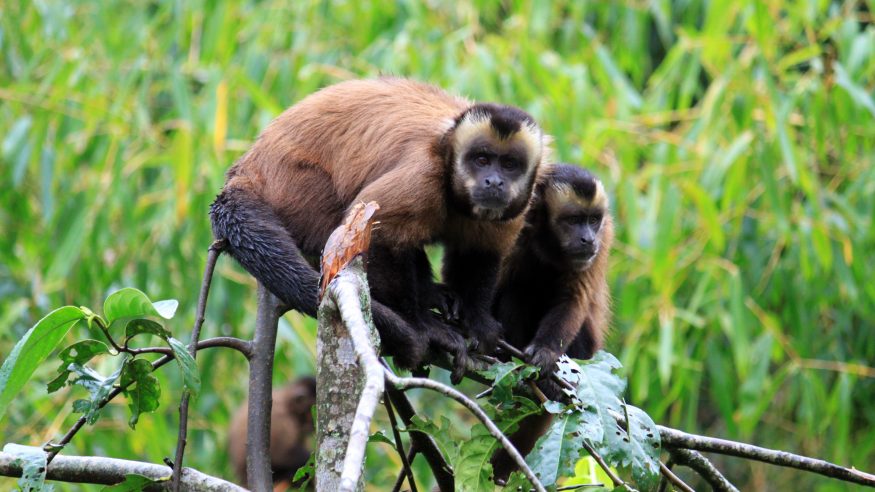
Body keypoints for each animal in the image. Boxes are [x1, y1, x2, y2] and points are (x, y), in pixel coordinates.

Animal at [210, 78, 548, 373]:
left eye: (509, 164)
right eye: (481, 160)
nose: (494, 181)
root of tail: (248, 167)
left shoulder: (519, 204)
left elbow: (482, 252)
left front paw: (477, 320)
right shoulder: (423, 175)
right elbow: (380, 234)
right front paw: (422, 327)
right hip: (293, 187)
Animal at [489, 164, 614, 482]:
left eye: (593, 221)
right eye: (573, 220)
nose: (588, 239)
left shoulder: (605, 236)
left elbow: (572, 300)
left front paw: (545, 353)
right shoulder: (513, 223)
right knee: (516, 291)